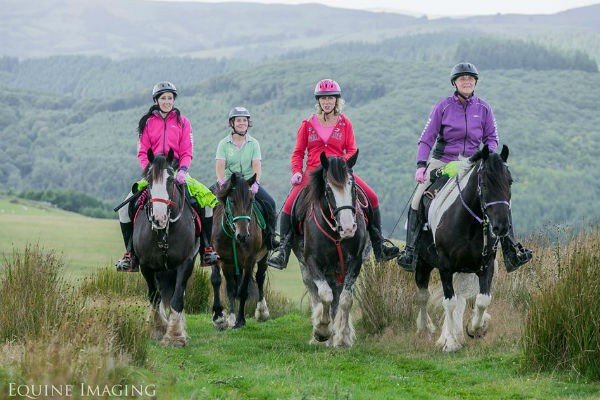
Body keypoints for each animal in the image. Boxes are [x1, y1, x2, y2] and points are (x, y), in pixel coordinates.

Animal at [133, 148, 199, 346]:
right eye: (149, 180)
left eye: (171, 180)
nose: (159, 219)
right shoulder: (146, 265)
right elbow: (154, 296)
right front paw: (158, 328)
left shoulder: (186, 262)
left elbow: (177, 298)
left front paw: (175, 336)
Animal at [210, 171, 268, 328]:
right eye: (232, 200)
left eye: (251, 201)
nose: (242, 236)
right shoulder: (226, 261)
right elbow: (230, 289)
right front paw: (231, 317)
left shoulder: (249, 261)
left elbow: (243, 290)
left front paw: (240, 320)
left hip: (263, 256)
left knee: (260, 277)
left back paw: (262, 311)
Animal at [292, 150, 368, 346]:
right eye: (328, 190)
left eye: (353, 187)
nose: (348, 228)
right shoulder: (312, 262)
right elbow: (325, 295)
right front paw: (322, 331)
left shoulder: (355, 262)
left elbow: (345, 299)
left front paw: (342, 338)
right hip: (308, 269)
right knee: (316, 294)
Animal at [414, 145, 512, 352]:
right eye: (484, 184)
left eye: (510, 182)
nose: (501, 226)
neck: (468, 225)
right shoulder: (445, 266)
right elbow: (449, 302)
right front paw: (450, 343)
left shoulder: (485, 265)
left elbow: (482, 300)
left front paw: (475, 328)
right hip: (422, 263)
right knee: (423, 295)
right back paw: (426, 330)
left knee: (459, 296)